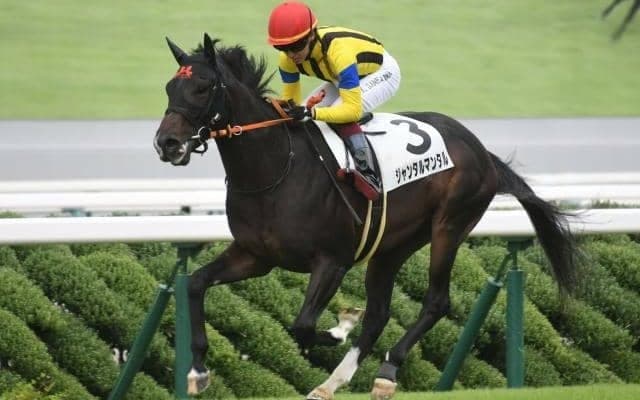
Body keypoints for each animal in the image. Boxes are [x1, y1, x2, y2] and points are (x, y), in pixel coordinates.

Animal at [154, 33, 580, 399]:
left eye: (204, 87)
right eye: (170, 88)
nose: (167, 144)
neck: (276, 169)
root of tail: (480, 150)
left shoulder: (332, 261)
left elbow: (303, 325)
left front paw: (342, 326)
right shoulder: (255, 256)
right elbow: (195, 285)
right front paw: (197, 370)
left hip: (450, 225)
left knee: (436, 302)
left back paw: (387, 370)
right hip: (392, 245)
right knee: (378, 314)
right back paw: (332, 383)